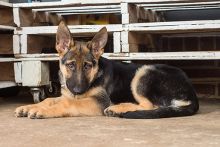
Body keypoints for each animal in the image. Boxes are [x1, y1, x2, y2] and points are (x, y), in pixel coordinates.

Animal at [14, 21, 199, 119]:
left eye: (88, 66)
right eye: (71, 65)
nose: (78, 90)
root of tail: (191, 92)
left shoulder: (98, 101)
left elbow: (69, 103)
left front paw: (40, 110)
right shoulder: (68, 94)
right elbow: (50, 99)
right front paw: (30, 106)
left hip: (144, 72)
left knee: (150, 105)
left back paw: (118, 108)